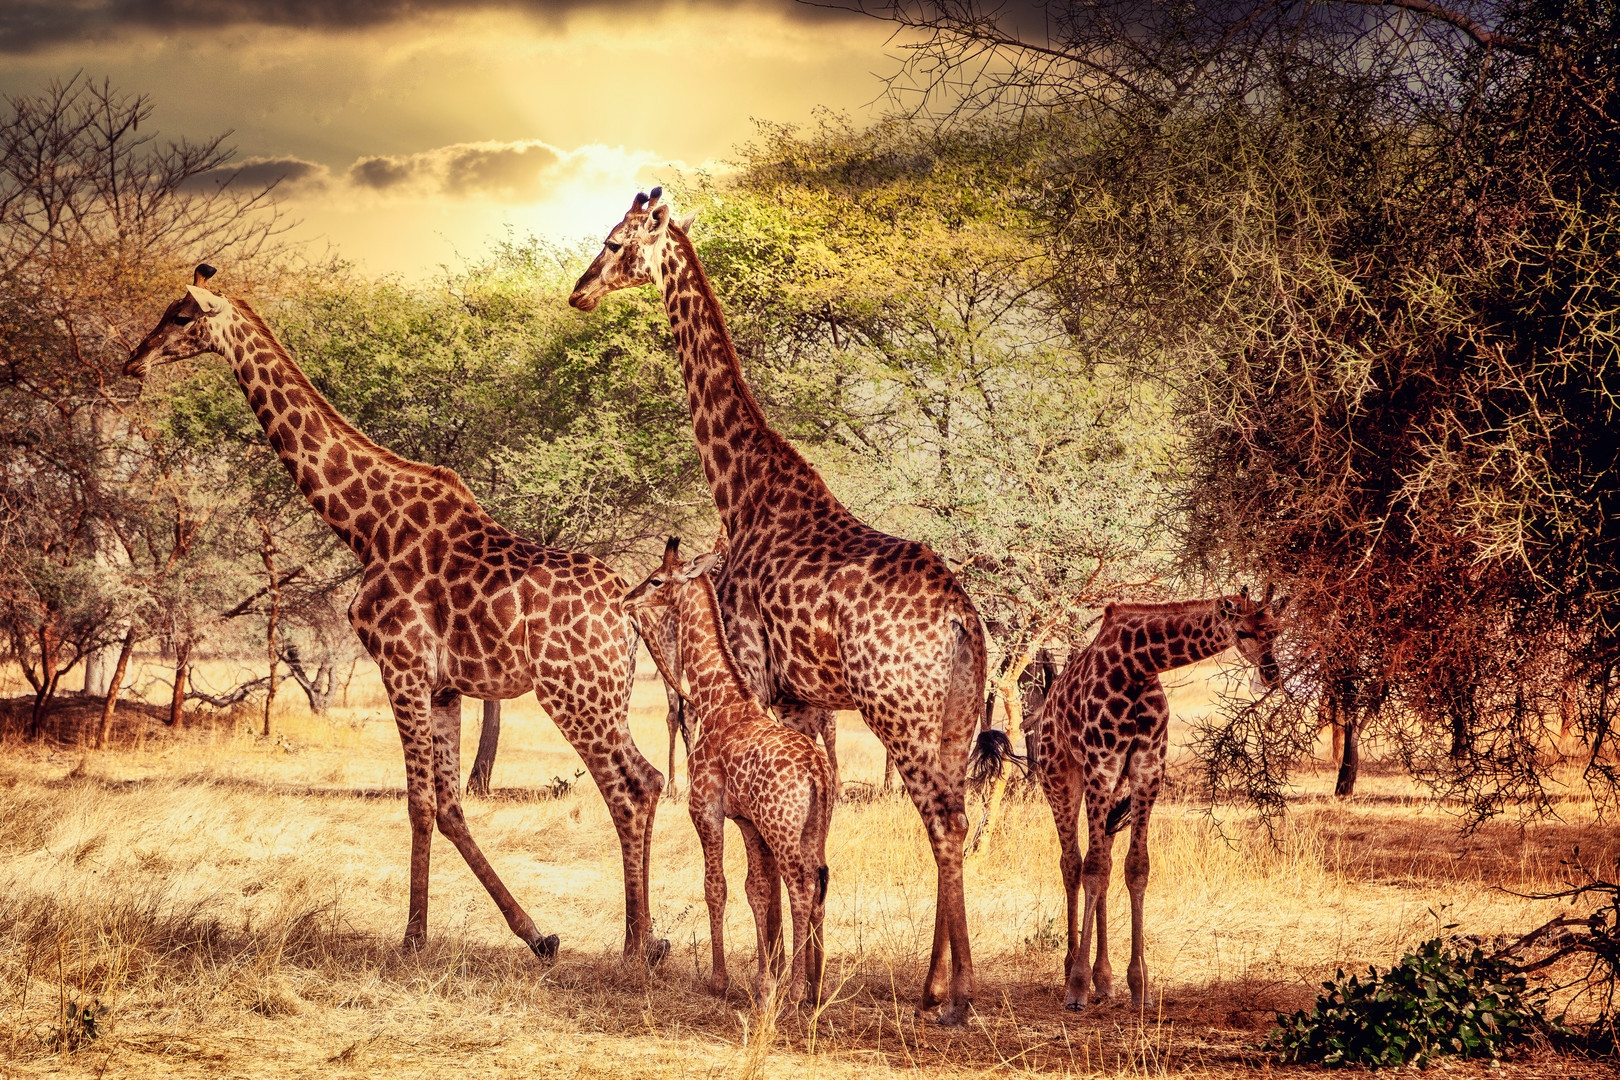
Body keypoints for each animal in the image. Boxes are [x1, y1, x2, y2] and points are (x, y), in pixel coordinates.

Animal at [118, 268, 664, 965]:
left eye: (181, 316)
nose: (134, 361)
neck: (365, 526)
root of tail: (627, 609)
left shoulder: (400, 665)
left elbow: (419, 804)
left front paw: (411, 938)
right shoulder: (445, 686)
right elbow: (452, 806)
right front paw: (536, 933)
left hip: (575, 691)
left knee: (629, 787)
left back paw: (635, 946)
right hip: (602, 693)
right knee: (649, 779)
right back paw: (649, 939)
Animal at [612, 544, 829, 1010]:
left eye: (657, 579)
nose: (626, 599)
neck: (717, 698)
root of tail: (818, 772)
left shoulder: (705, 809)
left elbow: (716, 885)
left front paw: (720, 979)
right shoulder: (747, 821)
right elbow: (757, 890)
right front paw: (763, 982)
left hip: (783, 828)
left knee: (801, 885)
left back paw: (797, 991)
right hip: (812, 828)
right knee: (819, 885)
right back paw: (816, 988)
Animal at [1004, 586, 1283, 1010]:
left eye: (1276, 631)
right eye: (1243, 631)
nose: (1271, 674)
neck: (1138, 665)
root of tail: (1045, 710)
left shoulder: (1146, 769)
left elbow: (1135, 868)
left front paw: (1139, 985)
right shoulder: (1102, 764)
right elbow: (1093, 869)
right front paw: (1078, 986)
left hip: (1110, 789)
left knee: (1098, 858)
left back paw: (1104, 979)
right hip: (1059, 775)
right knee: (1072, 863)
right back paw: (1071, 971)